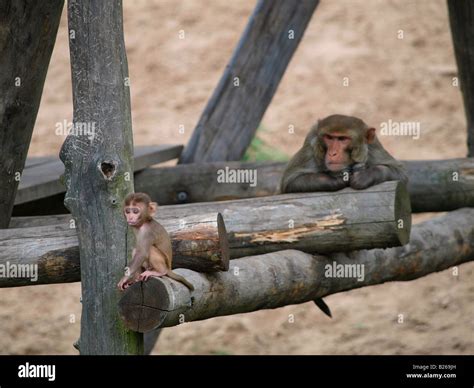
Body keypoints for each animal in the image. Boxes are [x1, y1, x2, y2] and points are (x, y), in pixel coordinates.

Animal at [282, 113, 408, 316]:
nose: (333, 153)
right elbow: (290, 182)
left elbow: (400, 173)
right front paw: (338, 178)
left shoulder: (373, 145)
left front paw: (365, 175)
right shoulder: (312, 142)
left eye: (342, 139)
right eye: (329, 138)